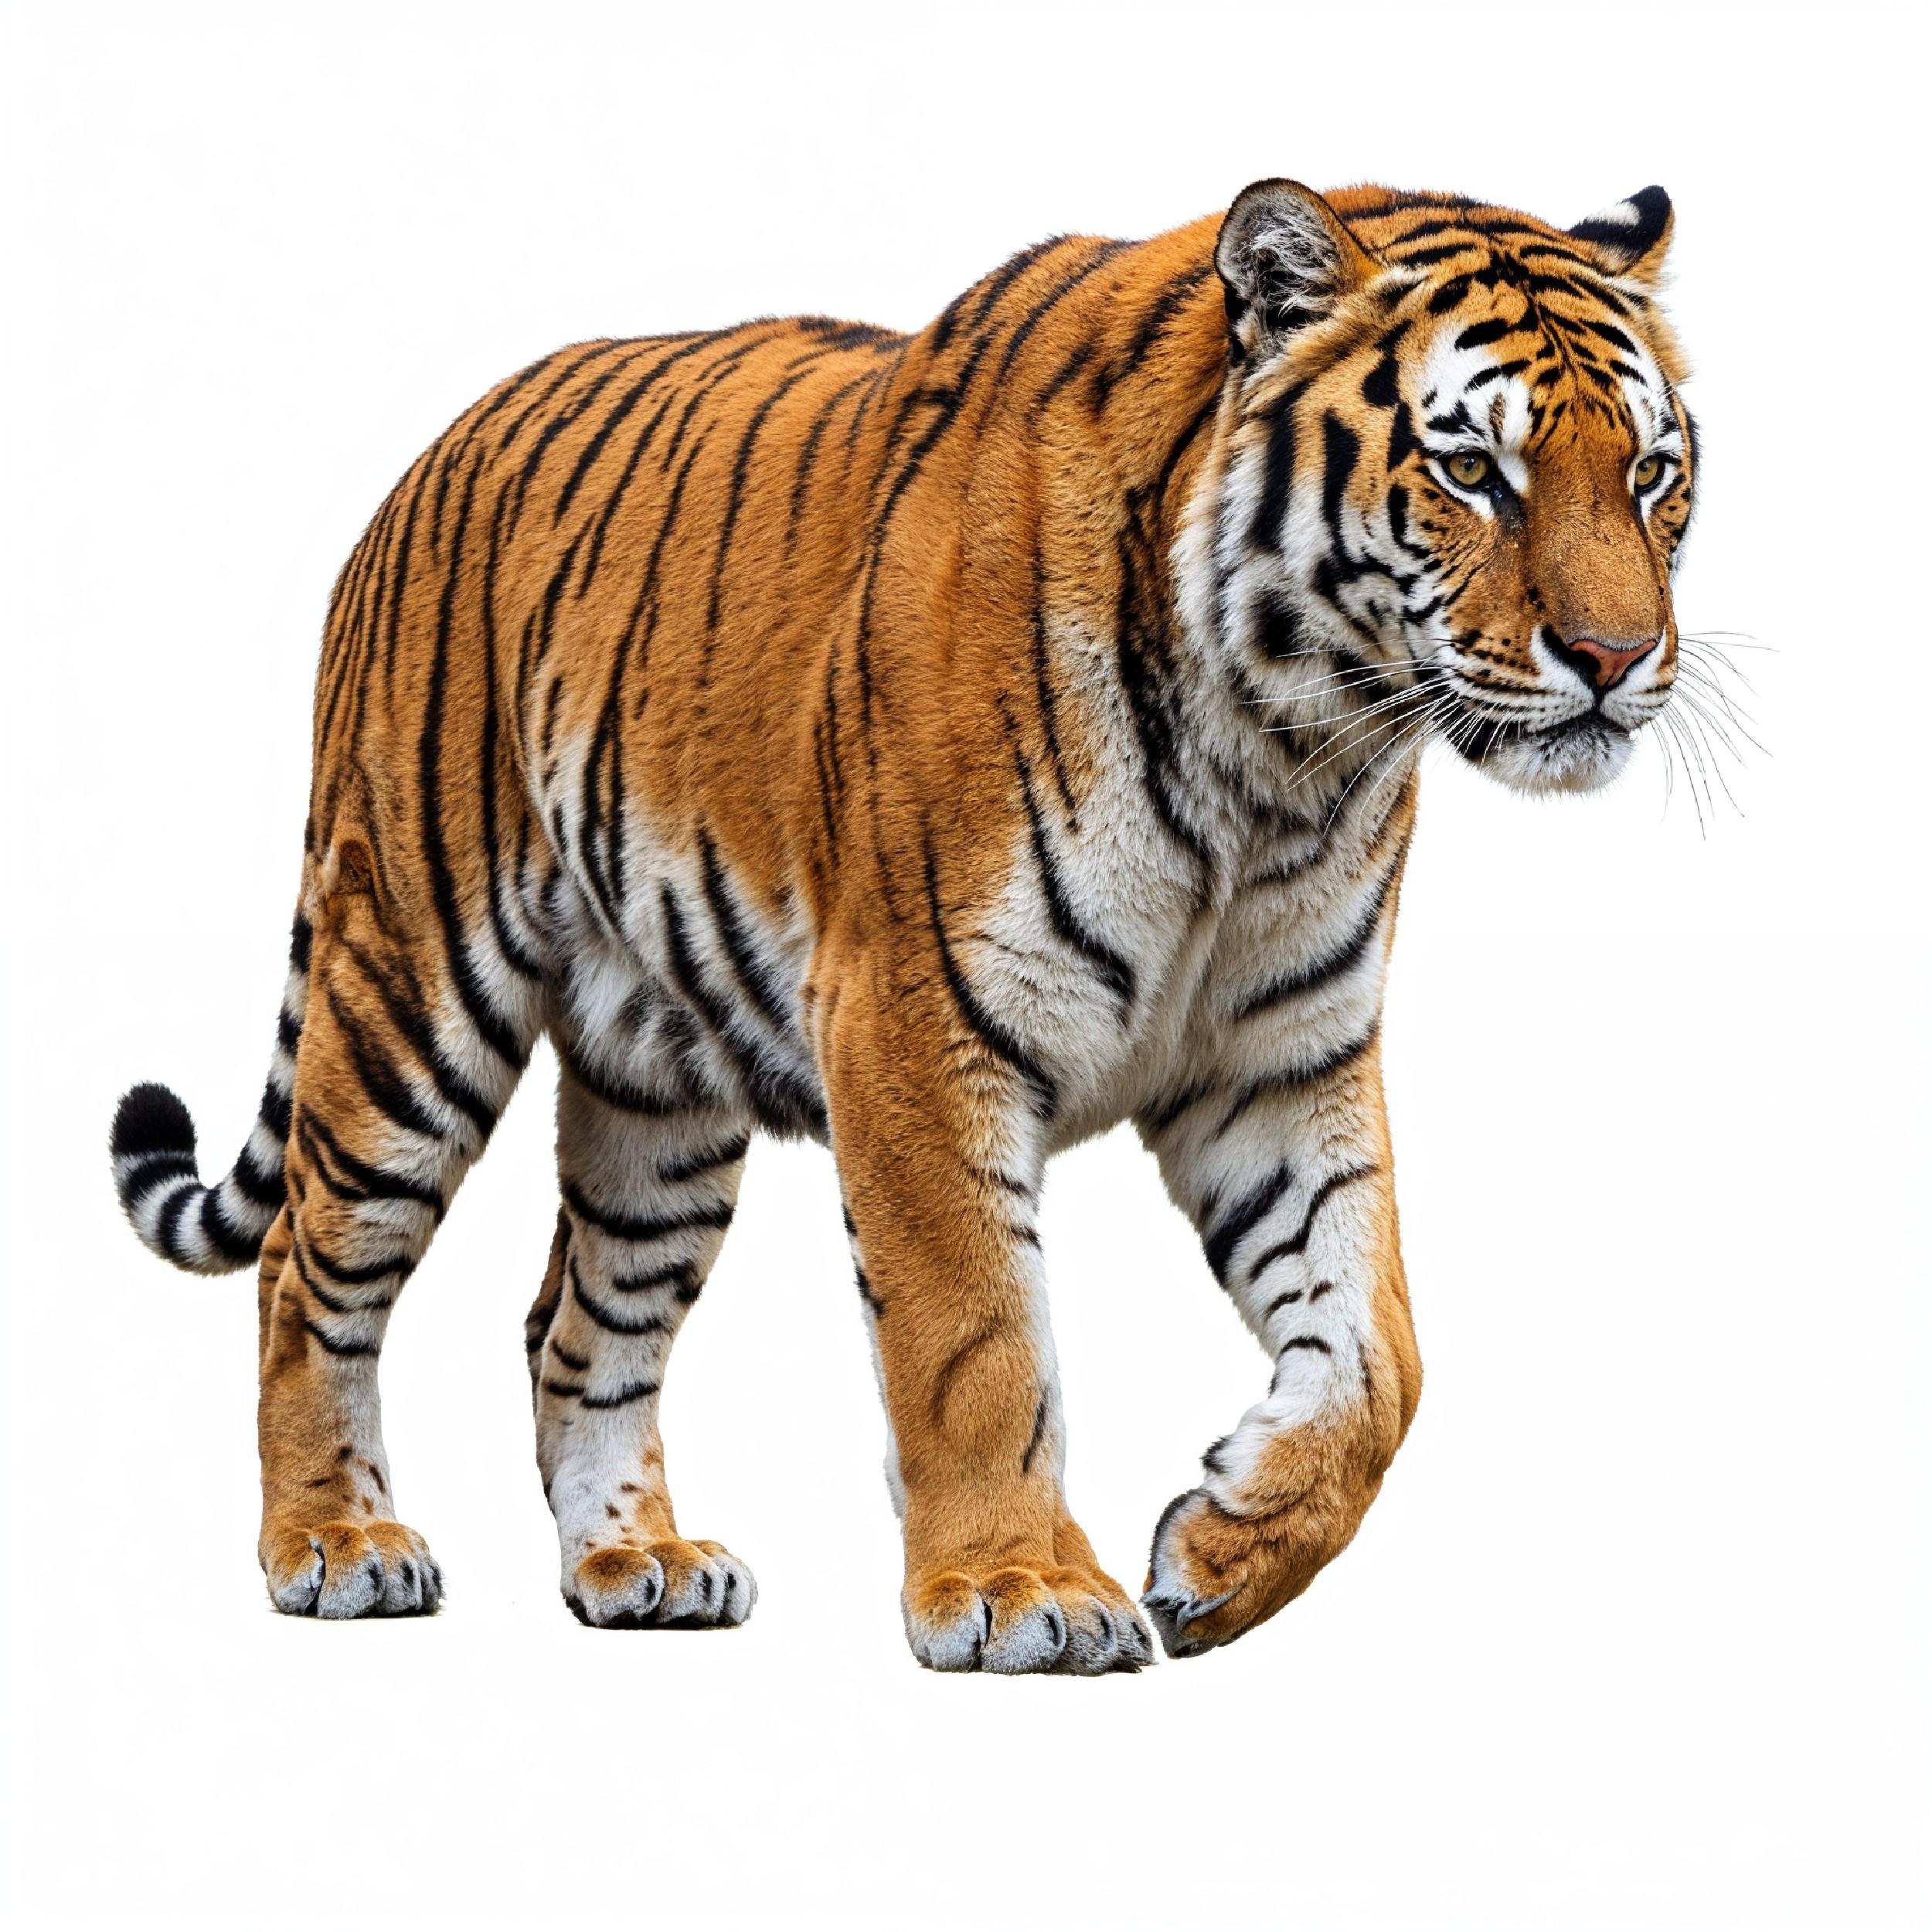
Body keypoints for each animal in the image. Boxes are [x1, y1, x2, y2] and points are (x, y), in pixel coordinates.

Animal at [110, 177, 1694, 1670]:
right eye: (1471, 470)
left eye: (1652, 473)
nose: (1619, 658)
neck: (1284, 758)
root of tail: (431, 455)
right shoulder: (920, 1022)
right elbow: (976, 1335)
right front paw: (1018, 1591)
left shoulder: (1284, 1058)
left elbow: (1382, 1356)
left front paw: (1225, 1548)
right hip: (408, 989)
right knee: (304, 1264)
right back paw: (336, 1543)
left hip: (657, 1087)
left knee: (578, 1319)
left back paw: (637, 1564)